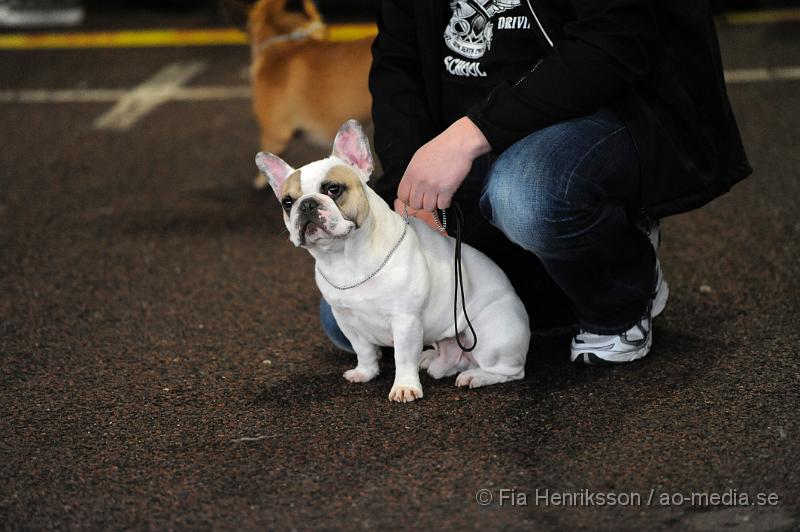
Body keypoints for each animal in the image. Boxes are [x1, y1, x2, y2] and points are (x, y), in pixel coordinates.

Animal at [256, 121, 532, 404]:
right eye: (287, 202)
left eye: (333, 189)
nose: (307, 204)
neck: (345, 258)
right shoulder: (347, 321)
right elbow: (363, 350)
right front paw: (365, 372)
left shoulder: (405, 320)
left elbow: (403, 357)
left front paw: (405, 386)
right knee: (449, 358)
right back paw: (434, 358)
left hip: (490, 333)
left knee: (510, 371)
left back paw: (477, 376)